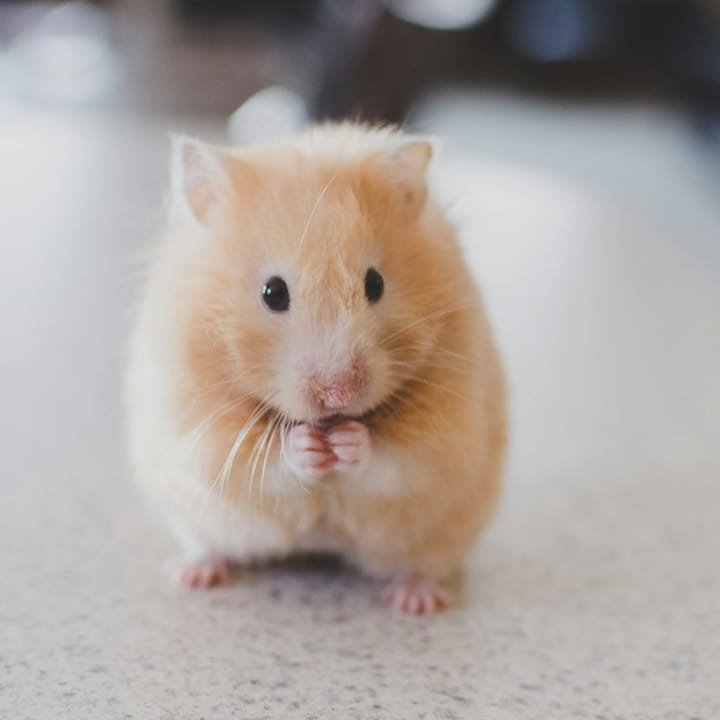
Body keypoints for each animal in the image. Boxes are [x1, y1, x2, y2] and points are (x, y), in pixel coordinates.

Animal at [126, 123, 506, 613]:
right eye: (273, 292)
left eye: (375, 284)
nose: (339, 394)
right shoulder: (198, 428)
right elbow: (261, 461)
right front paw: (307, 446)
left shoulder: (447, 432)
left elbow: (398, 460)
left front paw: (348, 442)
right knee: (208, 545)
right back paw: (192, 574)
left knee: (422, 564)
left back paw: (415, 601)